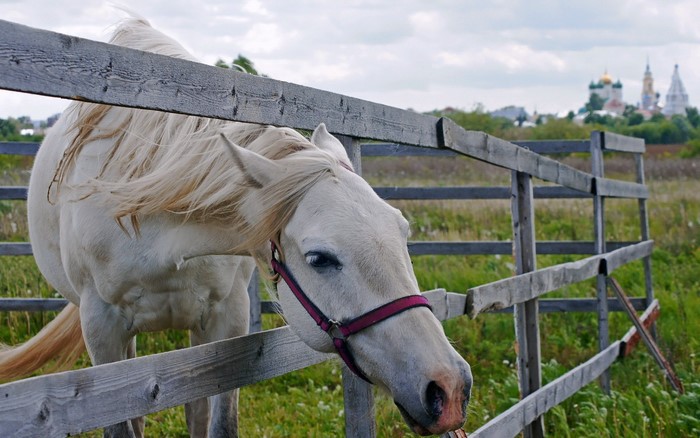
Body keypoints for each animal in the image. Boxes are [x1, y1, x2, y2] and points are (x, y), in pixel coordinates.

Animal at [0, 16, 472, 437]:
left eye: (402, 234)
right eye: (320, 258)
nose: (449, 388)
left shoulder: (227, 318)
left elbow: (218, 422)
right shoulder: (103, 334)